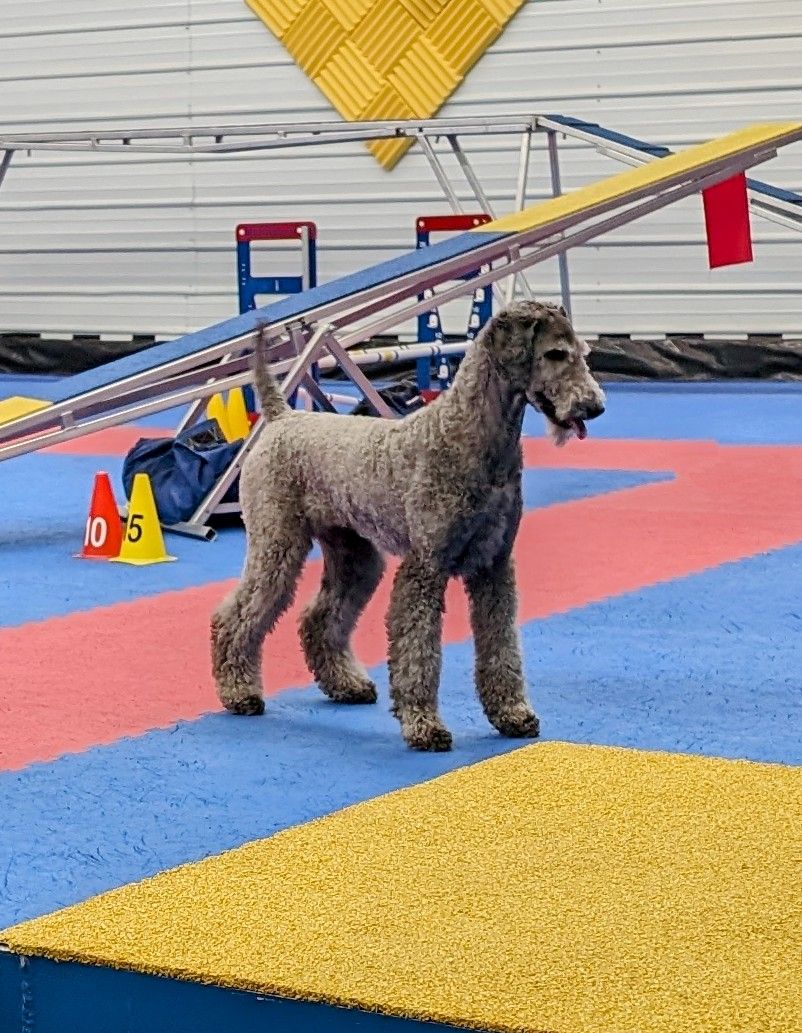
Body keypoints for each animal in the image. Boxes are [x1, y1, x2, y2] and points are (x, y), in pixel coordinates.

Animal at [211, 300, 605, 751]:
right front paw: (424, 725)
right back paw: (239, 692)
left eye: (581, 352)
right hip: (277, 544)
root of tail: (282, 416)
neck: (471, 435)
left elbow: (501, 646)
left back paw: (346, 684)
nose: (595, 406)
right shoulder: (425, 568)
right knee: (237, 615)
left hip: (355, 557)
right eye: (555, 354)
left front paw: (511, 713)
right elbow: (419, 652)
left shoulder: (494, 566)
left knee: (319, 617)